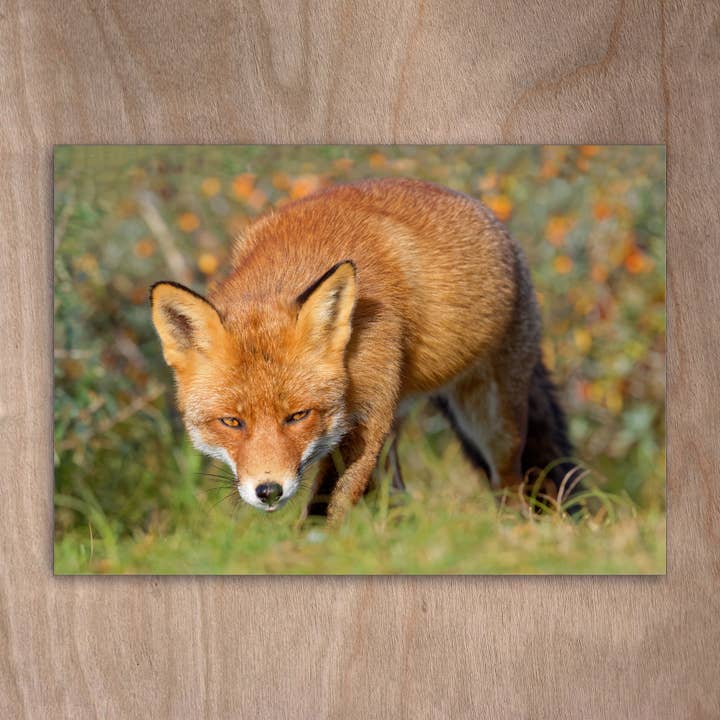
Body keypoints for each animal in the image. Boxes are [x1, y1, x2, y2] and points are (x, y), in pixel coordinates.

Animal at [150, 177, 574, 524]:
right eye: (231, 422)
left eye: (298, 415)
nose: (268, 491)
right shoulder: (372, 422)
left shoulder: (367, 416)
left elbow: (327, 505)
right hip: (399, 423)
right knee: (396, 493)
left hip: (490, 418)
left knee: (510, 482)